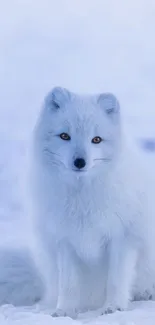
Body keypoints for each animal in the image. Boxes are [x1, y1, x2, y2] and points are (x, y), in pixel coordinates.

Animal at [26, 86, 155, 316]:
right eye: (64, 136)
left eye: (96, 139)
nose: (79, 161)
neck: (83, 198)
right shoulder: (65, 240)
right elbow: (68, 284)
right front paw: (64, 311)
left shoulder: (123, 237)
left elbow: (116, 279)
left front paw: (113, 308)